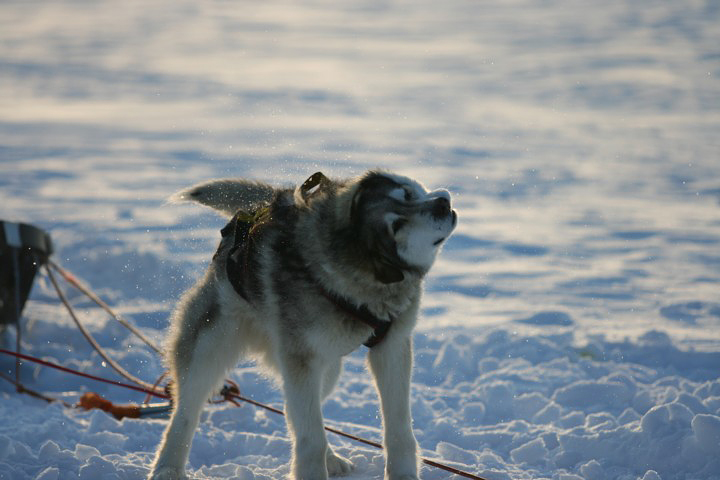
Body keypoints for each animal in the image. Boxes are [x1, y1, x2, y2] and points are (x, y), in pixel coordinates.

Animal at [149, 171, 458, 478]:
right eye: (397, 225)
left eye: (408, 193)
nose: (442, 203)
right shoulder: (303, 360)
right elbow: (312, 438)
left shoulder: (391, 347)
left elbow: (398, 430)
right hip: (211, 348)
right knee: (186, 412)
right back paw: (167, 467)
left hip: (326, 369)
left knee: (296, 412)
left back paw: (331, 459)